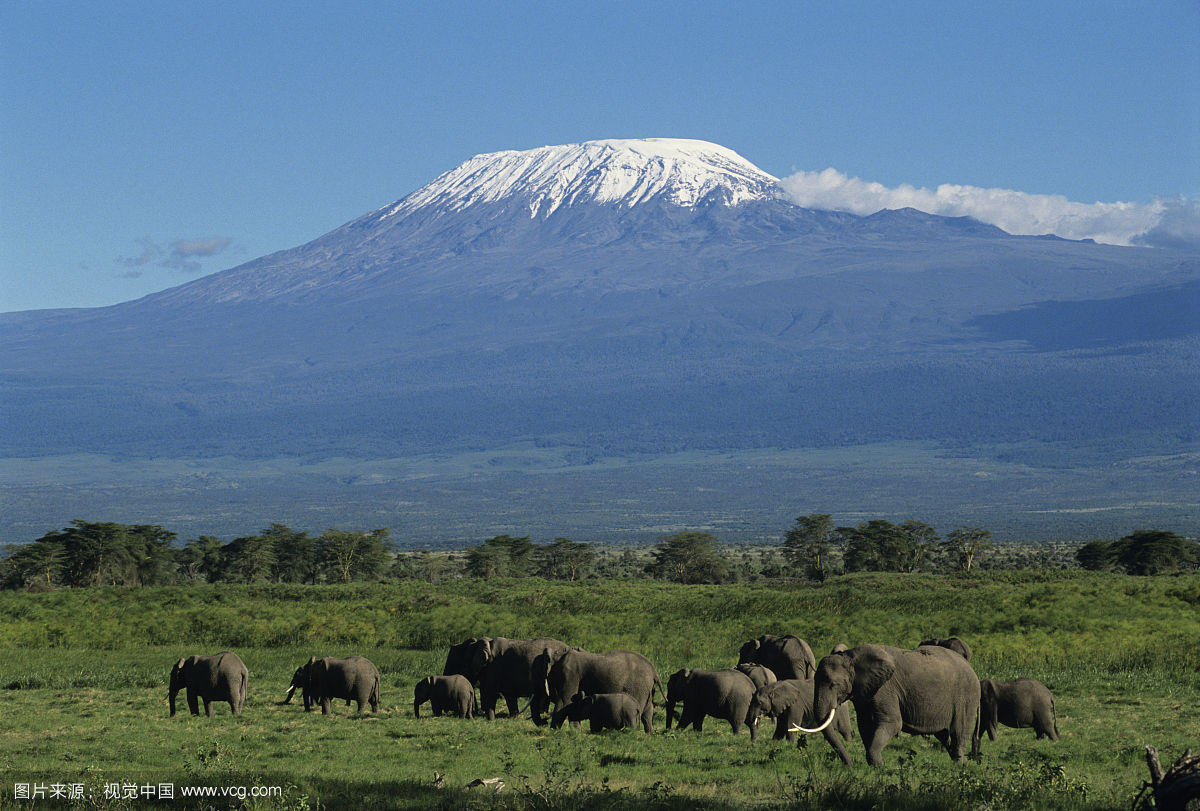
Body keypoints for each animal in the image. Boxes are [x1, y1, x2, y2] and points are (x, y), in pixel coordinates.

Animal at [792, 638, 979, 767]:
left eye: (833, 684)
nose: (850, 765)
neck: (851, 657)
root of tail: (971, 667)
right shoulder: (864, 692)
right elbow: (865, 725)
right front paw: (874, 766)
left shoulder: (885, 689)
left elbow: (892, 723)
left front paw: (879, 767)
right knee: (944, 735)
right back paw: (960, 762)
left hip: (967, 696)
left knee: (959, 731)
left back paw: (960, 765)